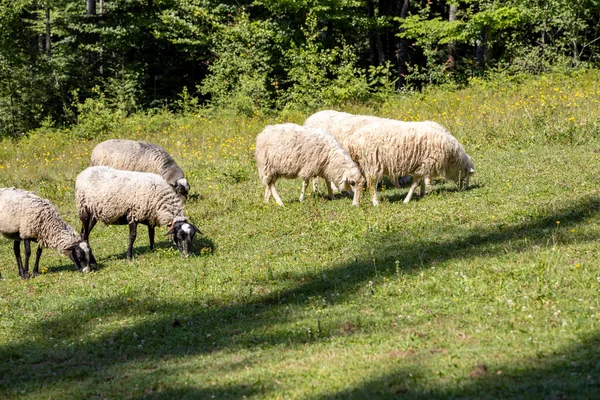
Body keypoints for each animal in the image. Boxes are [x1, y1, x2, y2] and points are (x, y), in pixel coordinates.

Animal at [74, 166, 202, 260]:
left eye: (192, 236)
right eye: (180, 236)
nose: (188, 255)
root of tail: (84, 172)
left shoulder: (151, 217)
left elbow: (151, 234)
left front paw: (152, 249)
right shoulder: (133, 215)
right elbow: (132, 237)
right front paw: (129, 257)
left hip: (94, 214)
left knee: (85, 234)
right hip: (84, 210)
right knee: (84, 233)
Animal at [346, 119, 474, 206]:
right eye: (468, 175)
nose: (465, 189)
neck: (452, 158)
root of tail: (352, 141)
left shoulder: (422, 165)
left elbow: (421, 182)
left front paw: (422, 193)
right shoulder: (426, 164)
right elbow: (414, 184)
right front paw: (407, 200)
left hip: (361, 165)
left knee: (359, 182)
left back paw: (356, 203)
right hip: (372, 164)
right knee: (372, 185)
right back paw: (376, 202)